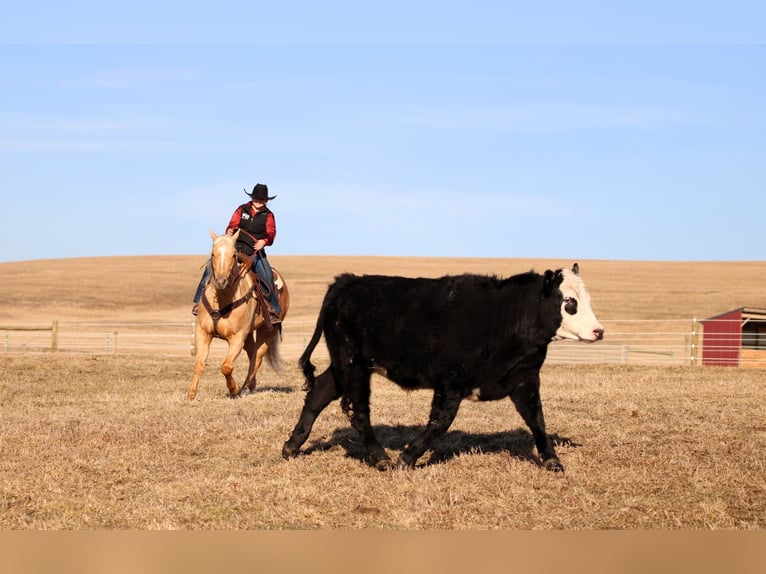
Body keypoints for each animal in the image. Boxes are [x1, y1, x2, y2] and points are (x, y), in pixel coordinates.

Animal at [188, 232, 292, 402]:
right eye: (213, 253)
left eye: (233, 254)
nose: (221, 281)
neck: (222, 299)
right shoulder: (203, 332)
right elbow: (199, 363)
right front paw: (191, 394)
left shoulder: (237, 337)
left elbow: (226, 366)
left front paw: (234, 389)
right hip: (249, 333)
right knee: (251, 353)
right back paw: (251, 385)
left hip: (267, 331)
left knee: (257, 358)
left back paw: (244, 388)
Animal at [282, 266, 608, 472]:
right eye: (569, 301)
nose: (599, 331)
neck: (507, 317)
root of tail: (346, 282)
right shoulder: (450, 384)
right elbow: (440, 423)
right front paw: (406, 459)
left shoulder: (524, 380)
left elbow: (537, 420)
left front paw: (552, 460)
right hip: (353, 365)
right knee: (359, 411)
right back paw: (380, 458)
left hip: (345, 366)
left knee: (320, 391)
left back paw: (291, 446)